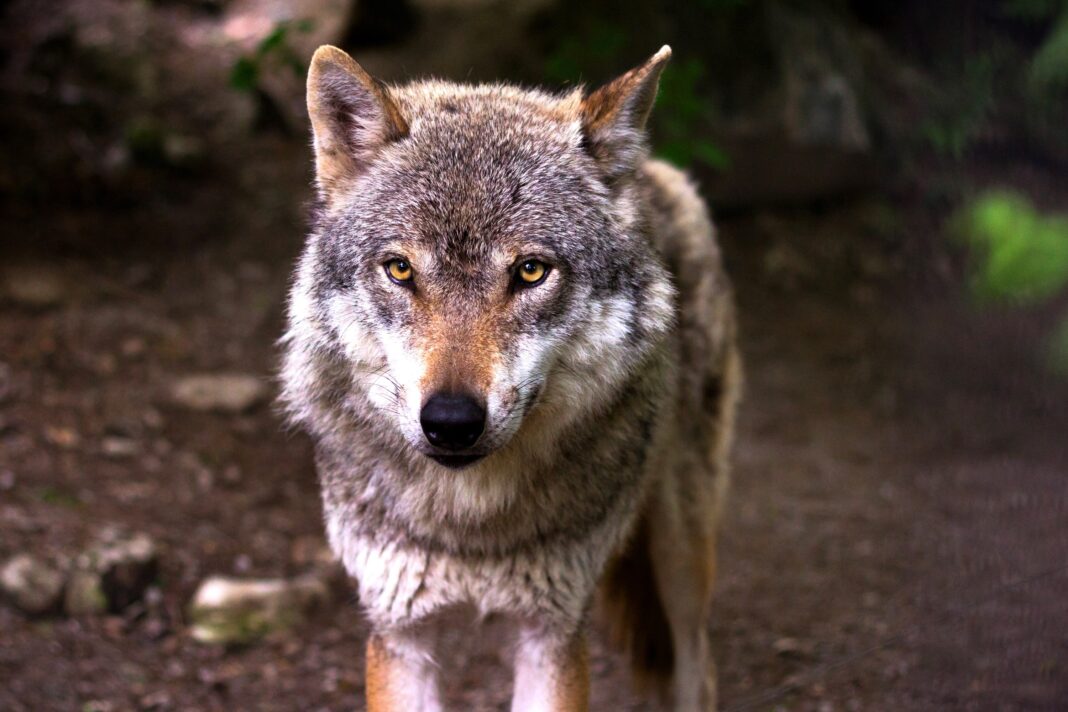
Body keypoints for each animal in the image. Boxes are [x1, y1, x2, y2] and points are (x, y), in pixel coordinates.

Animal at [279, 45, 739, 712]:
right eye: (399, 269)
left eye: (530, 271)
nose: (451, 422)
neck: (471, 526)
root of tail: (651, 170)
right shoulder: (399, 633)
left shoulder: (552, 633)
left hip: (682, 554)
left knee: (698, 667)